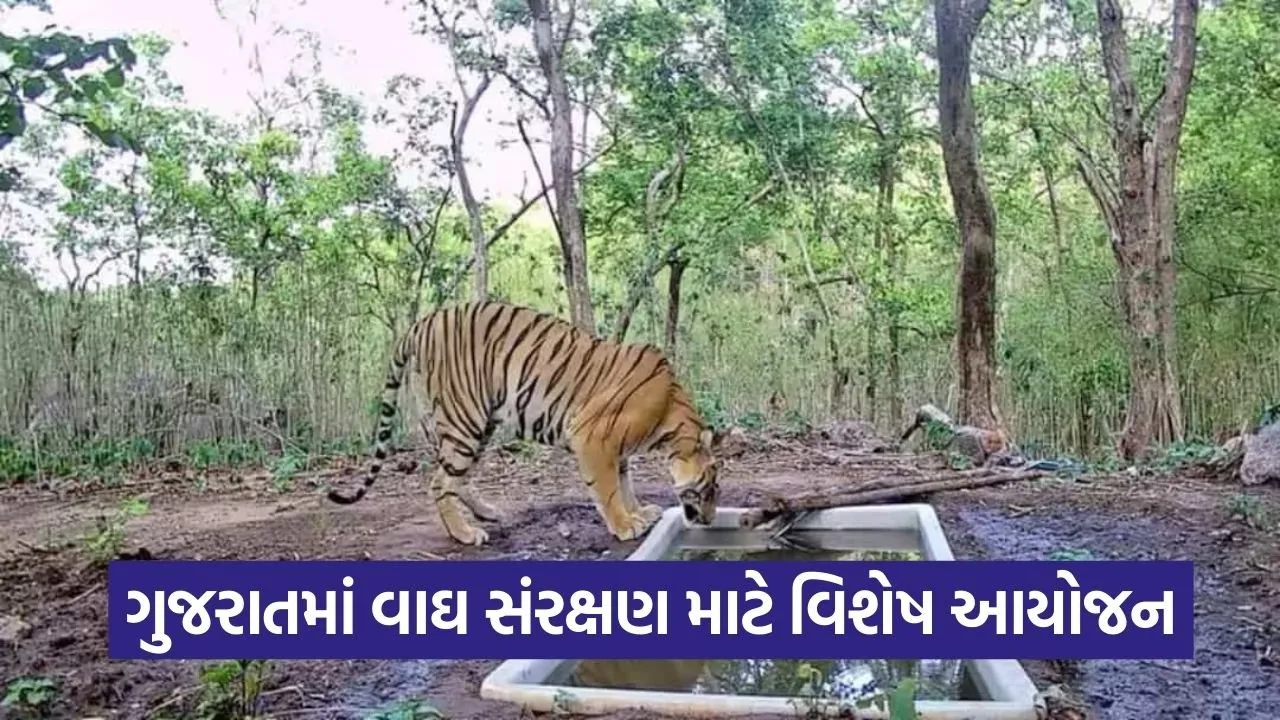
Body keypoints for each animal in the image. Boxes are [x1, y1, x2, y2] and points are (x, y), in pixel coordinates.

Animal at [327, 300, 724, 547]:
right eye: (710, 487)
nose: (708, 520)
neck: (670, 415)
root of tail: (424, 321)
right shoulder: (592, 436)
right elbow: (609, 489)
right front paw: (626, 525)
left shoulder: (618, 448)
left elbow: (625, 483)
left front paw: (639, 511)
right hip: (465, 418)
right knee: (440, 482)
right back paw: (465, 534)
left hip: (479, 423)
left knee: (456, 477)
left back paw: (487, 513)